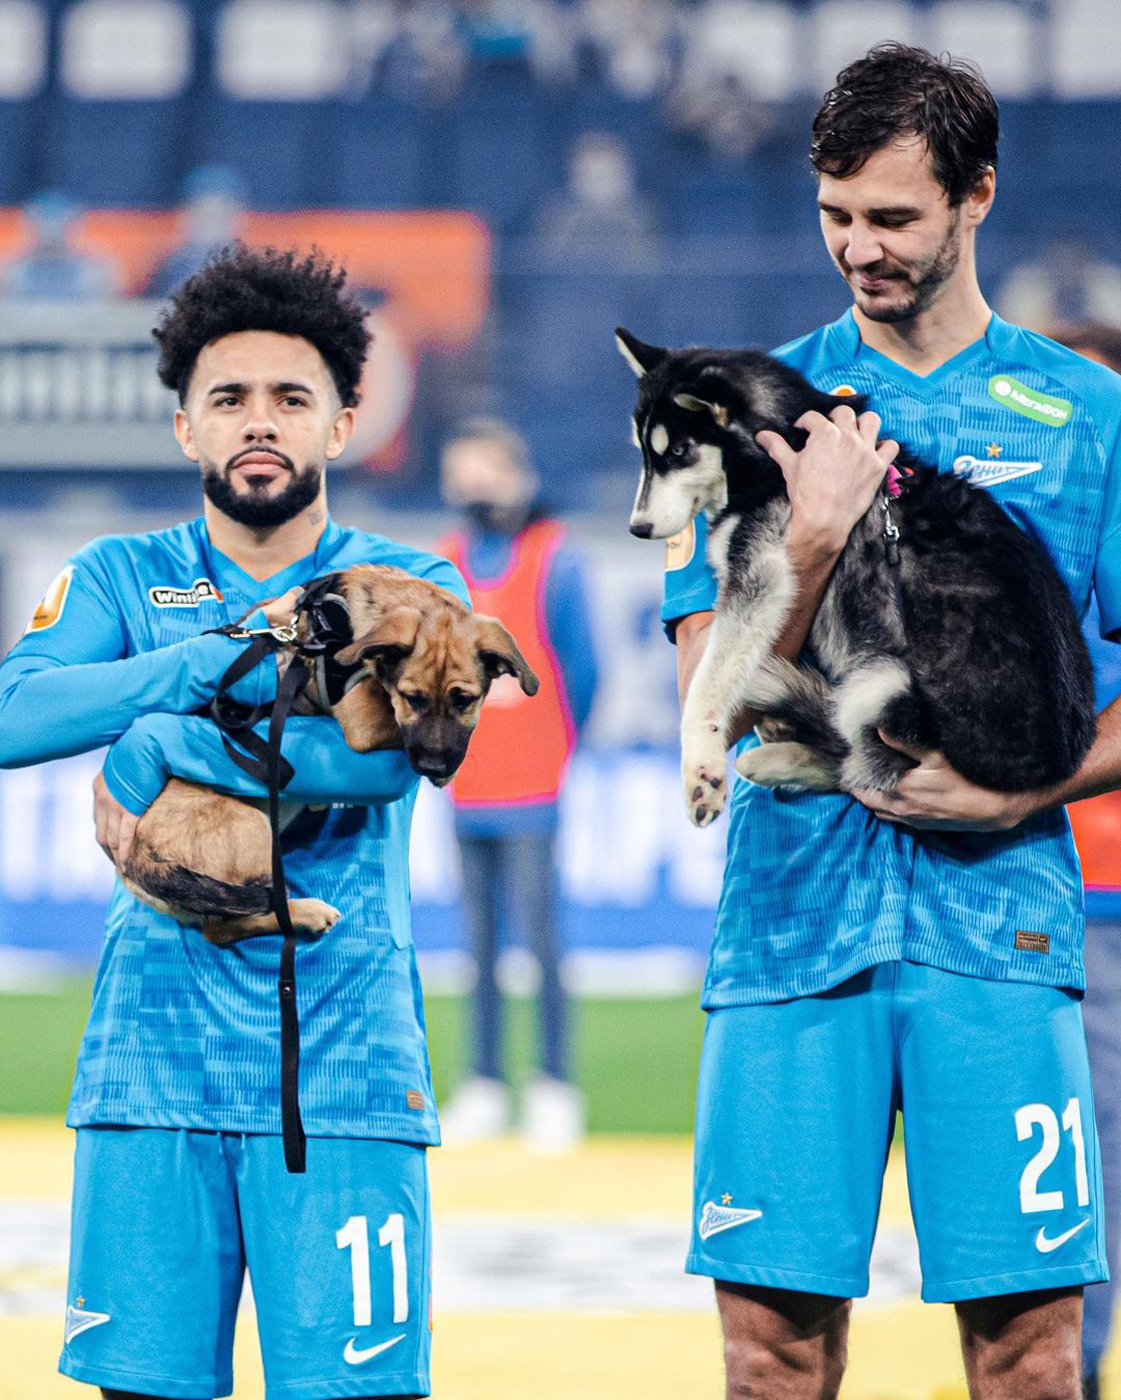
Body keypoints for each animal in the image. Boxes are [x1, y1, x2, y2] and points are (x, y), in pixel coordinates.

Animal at [121, 564, 539, 943]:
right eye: (412, 698)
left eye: (464, 699)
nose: (432, 764)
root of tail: (136, 862)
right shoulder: (363, 719)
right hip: (254, 829)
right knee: (231, 923)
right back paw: (305, 913)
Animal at [616, 327, 1096, 828]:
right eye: (645, 453)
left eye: (677, 452)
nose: (638, 528)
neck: (781, 442)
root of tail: (1051, 766)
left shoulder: (759, 570)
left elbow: (706, 685)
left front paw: (701, 765)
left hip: (883, 686)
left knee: (862, 769)